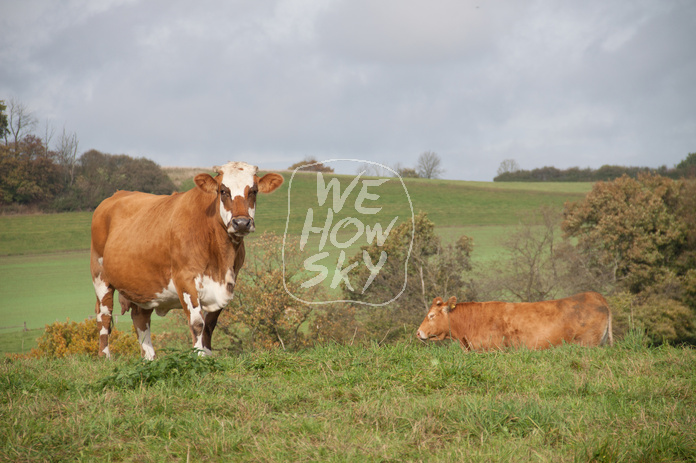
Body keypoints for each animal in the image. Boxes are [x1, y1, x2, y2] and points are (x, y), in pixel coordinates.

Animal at [90, 161, 282, 360]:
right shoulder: (185, 279)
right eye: (223, 191)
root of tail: (116, 194)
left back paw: (149, 358)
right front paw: (198, 356)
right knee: (104, 315)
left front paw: (208, 354)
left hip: (143, 284)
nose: (242, 223)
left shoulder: (227, 284)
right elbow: (197, 323)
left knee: (140, 318)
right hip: (100, 275)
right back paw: (105, 356)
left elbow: (210, 325)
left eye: (254, 191)